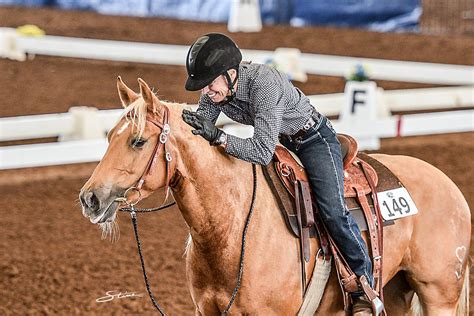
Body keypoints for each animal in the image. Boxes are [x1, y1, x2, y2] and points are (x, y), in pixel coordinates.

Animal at [80, 78, 470, 314]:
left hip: (439, 295)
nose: (90, 199)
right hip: (396, 289)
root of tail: (450, 186)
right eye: (109, 136)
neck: (233, 226)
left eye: (137, 141)